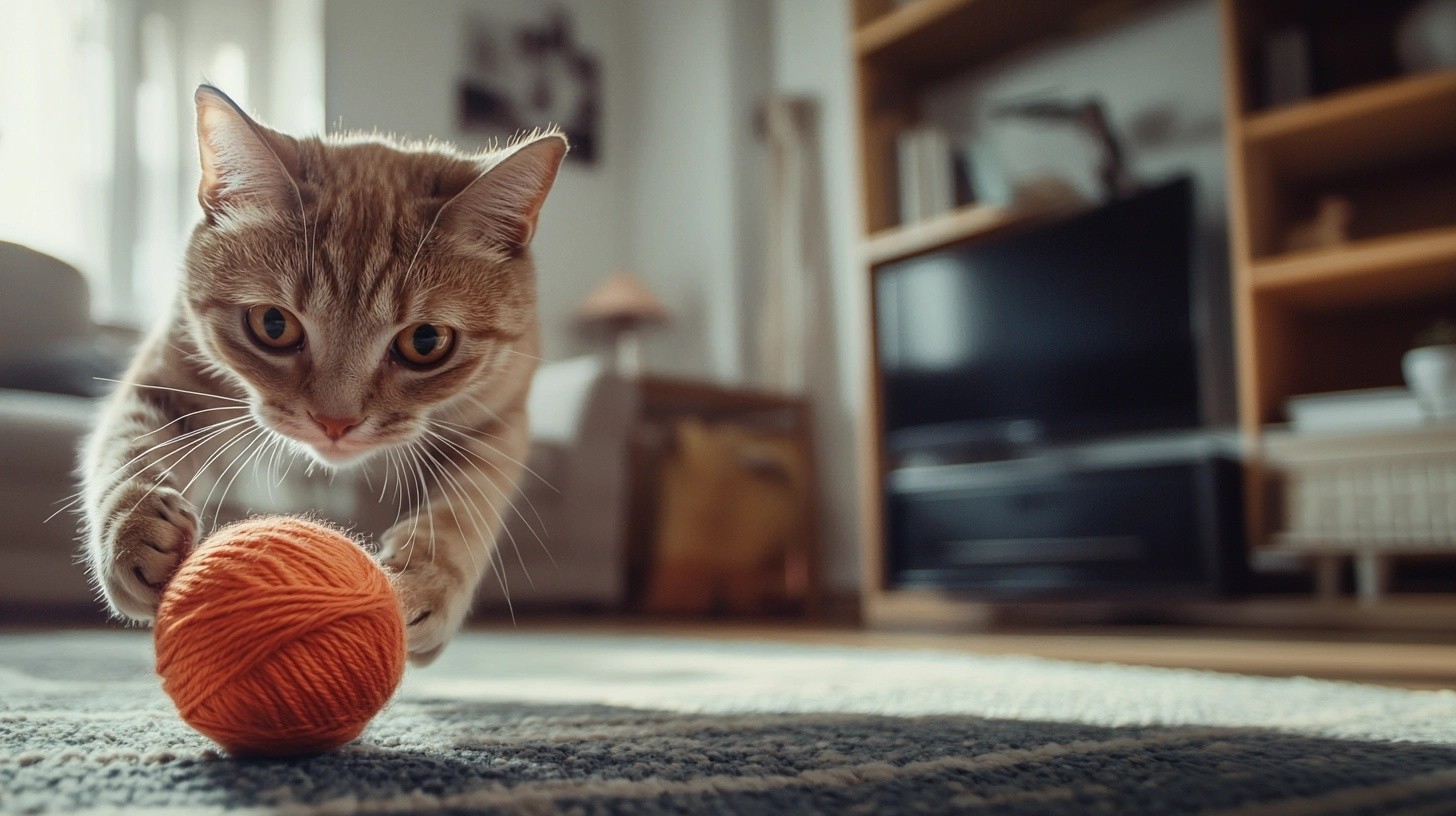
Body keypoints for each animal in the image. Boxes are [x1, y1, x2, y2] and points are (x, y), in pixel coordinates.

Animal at [78, 85, 567, 667]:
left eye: (425, 342)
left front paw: (427, 585)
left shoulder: (500, 418)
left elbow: (466, 508)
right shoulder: (165, 376)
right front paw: (133, 530)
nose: (335, 422)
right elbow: (129, 450)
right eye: (273, 325)